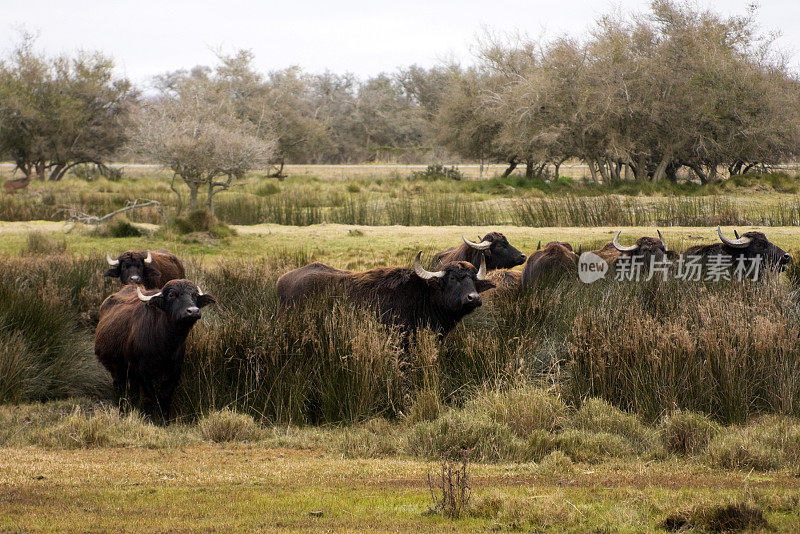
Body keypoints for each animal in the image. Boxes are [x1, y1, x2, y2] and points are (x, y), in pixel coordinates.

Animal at [94, 278, 216, 426]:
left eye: (195, 295)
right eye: (171, 295)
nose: (193, 311)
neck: (166, 346)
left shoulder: (174, 372)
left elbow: (165, 395)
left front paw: (165, 420)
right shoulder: (142, 372)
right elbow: (149, 395)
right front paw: (148, 418)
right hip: (116, 369)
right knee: (120, 390)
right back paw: (122, 411)